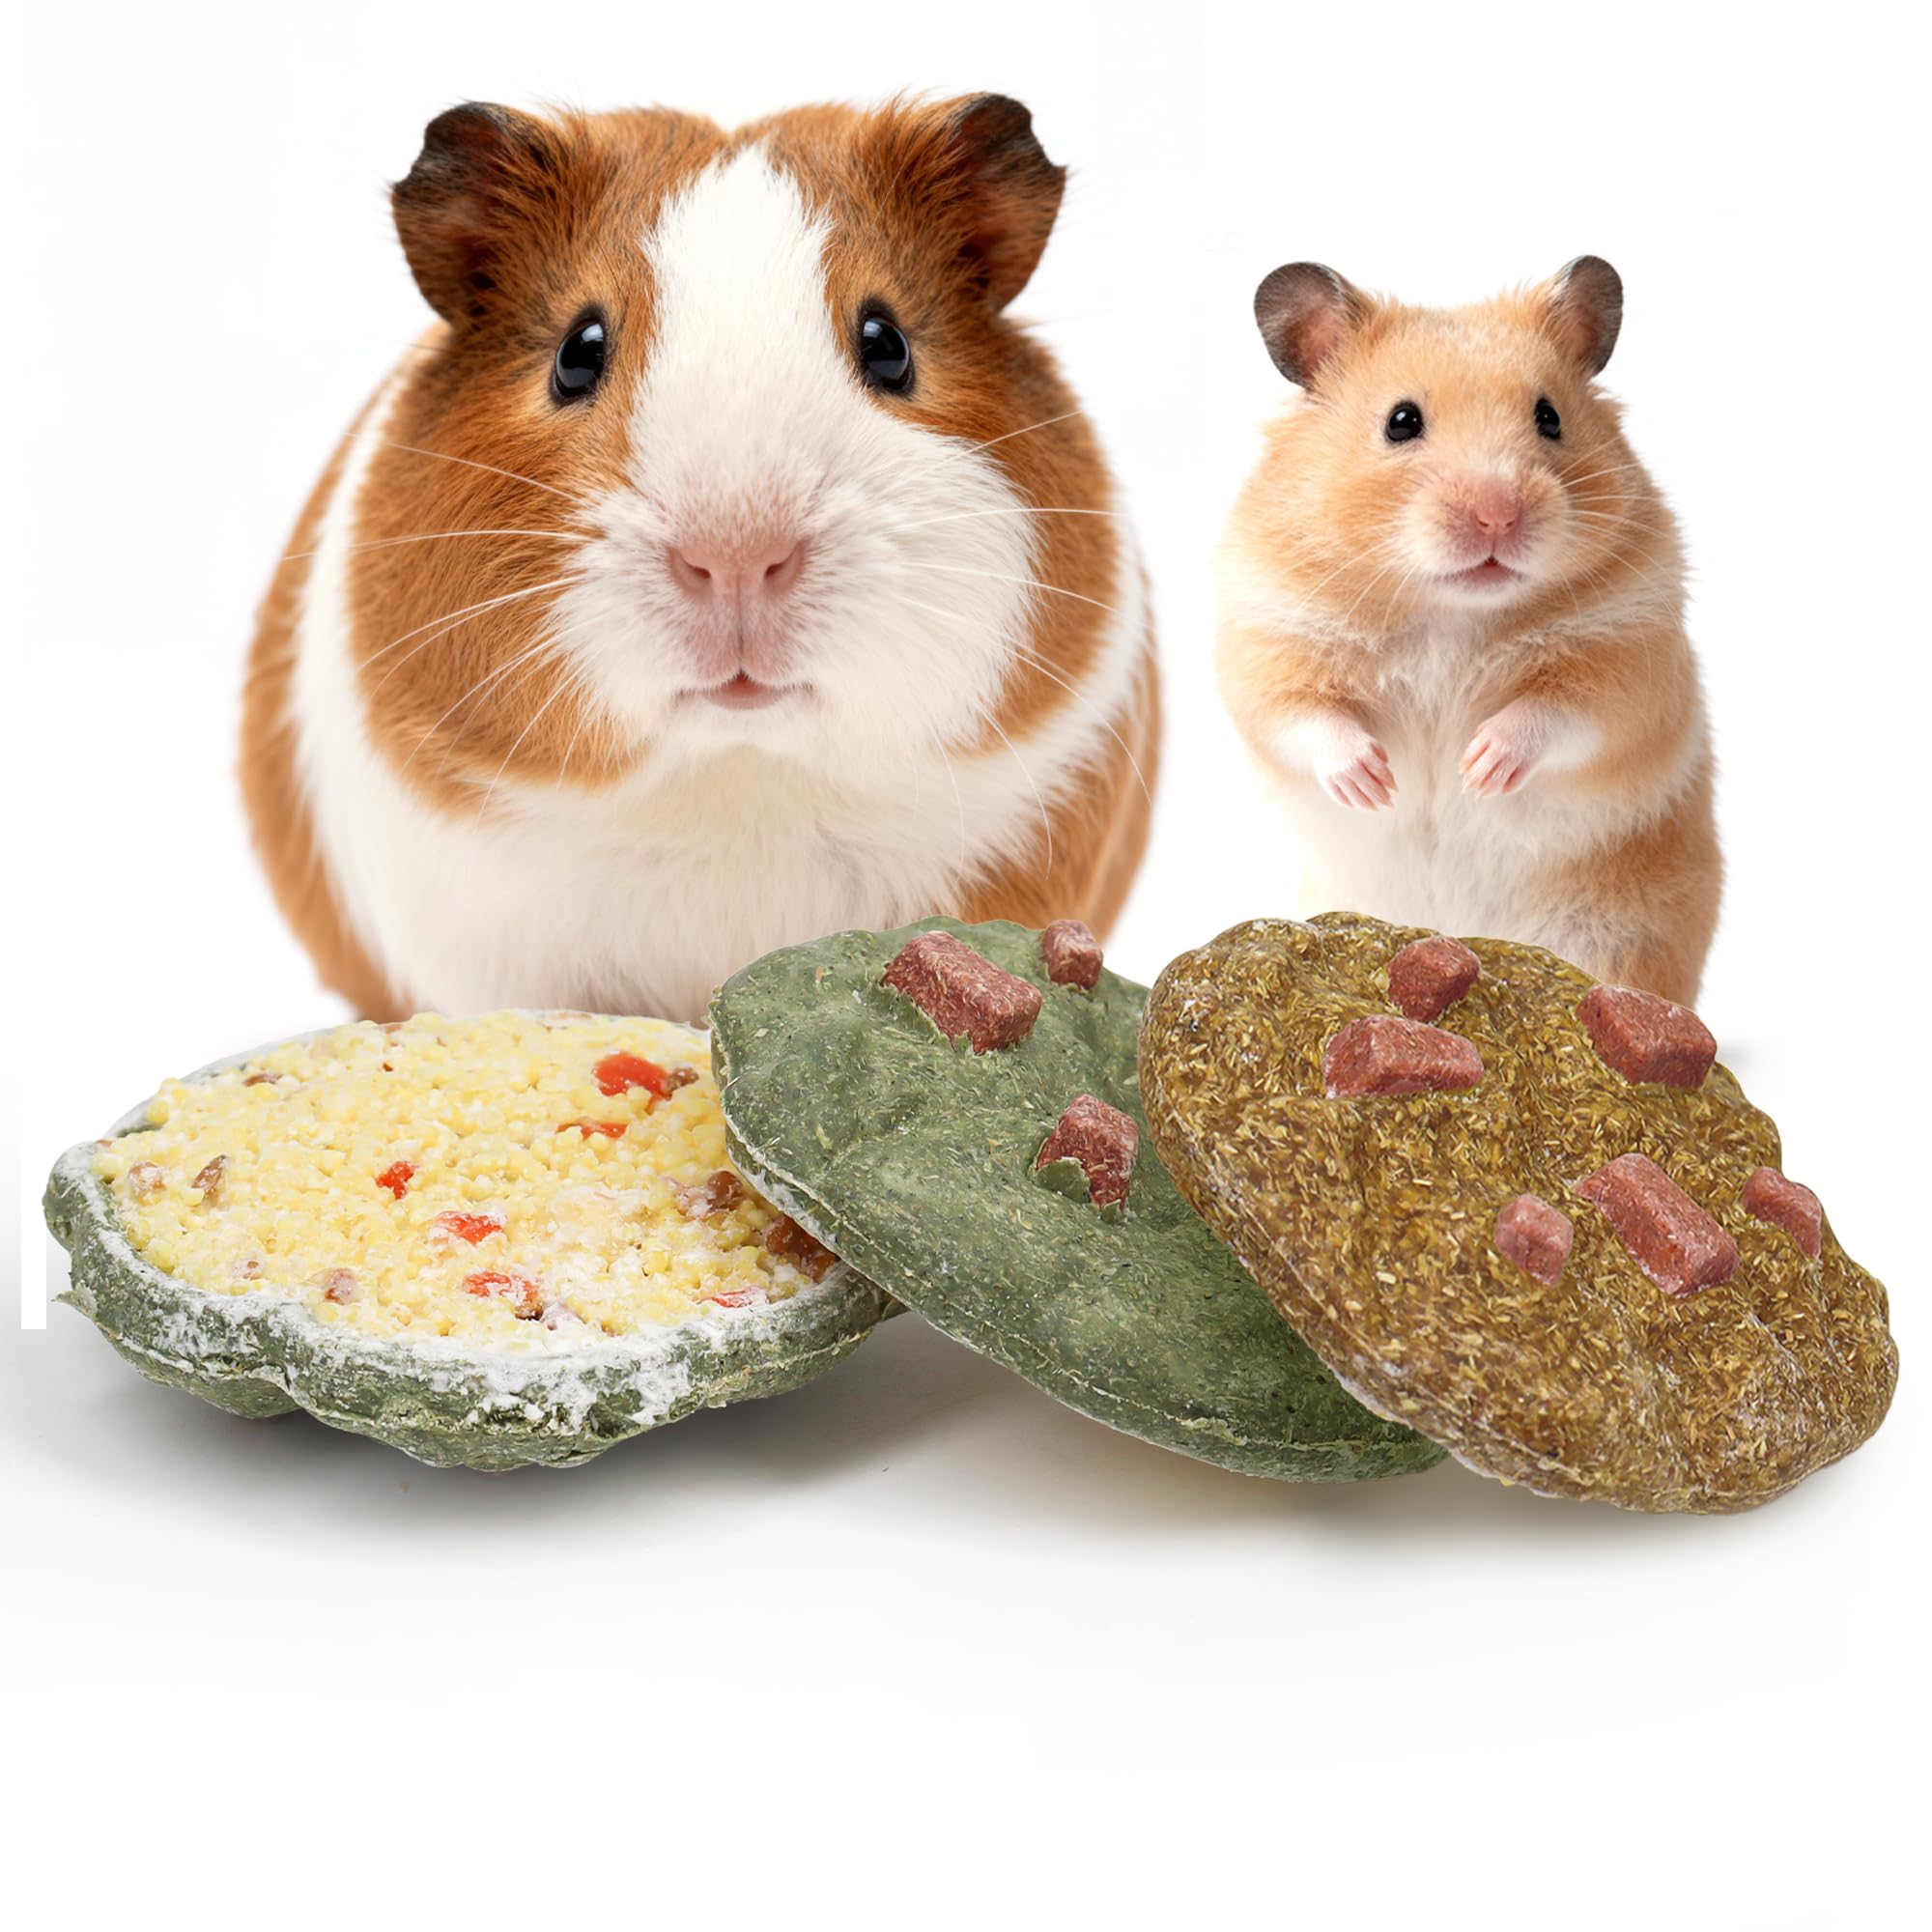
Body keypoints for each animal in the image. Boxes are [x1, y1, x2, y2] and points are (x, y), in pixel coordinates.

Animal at [1217, 257, 1720, 1004]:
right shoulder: (1265, 645)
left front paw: (1478, 768)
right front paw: (1375, 783)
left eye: (1550, 417)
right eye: (1401, 422)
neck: (1449, 614)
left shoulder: (1630, 661)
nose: (1497, 515)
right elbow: (1306, 720)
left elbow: (1558, 713)